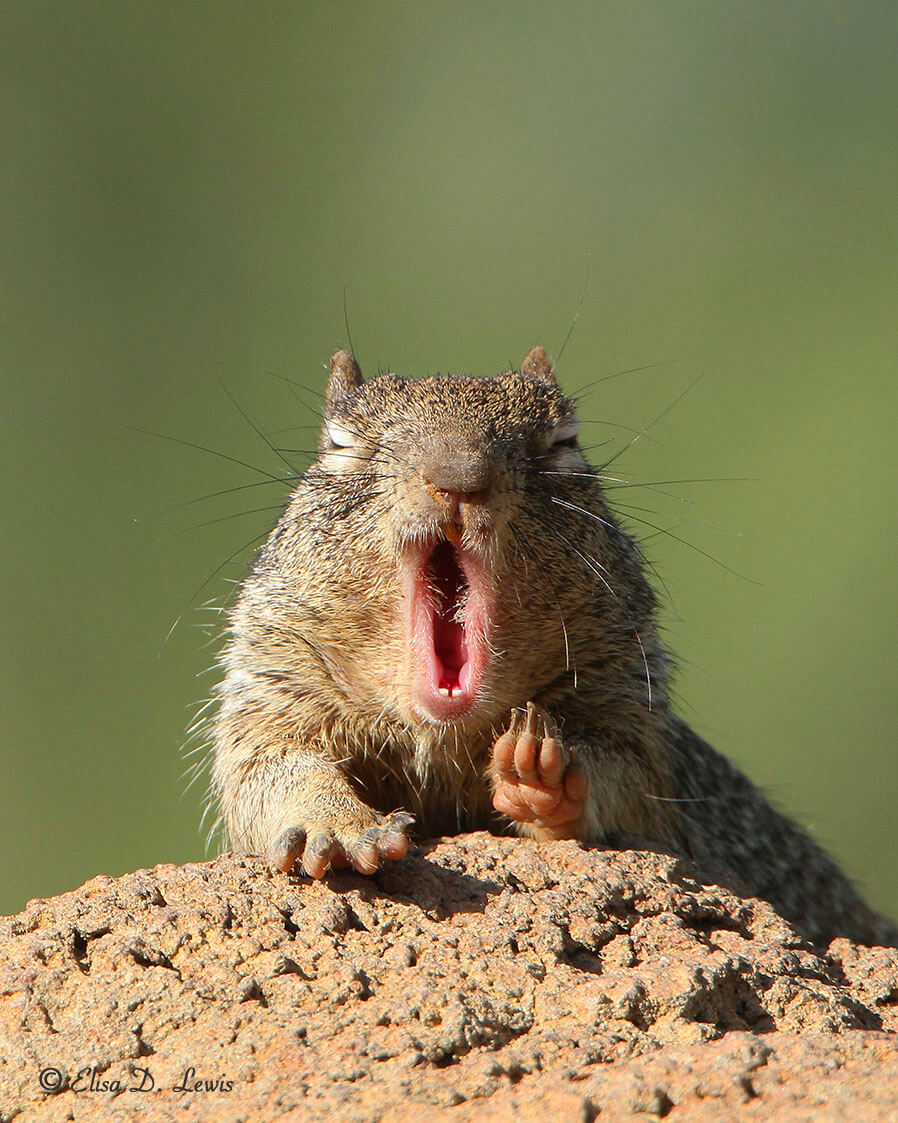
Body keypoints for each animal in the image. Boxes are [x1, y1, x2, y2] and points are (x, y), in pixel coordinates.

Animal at [211, 345, 889, 943]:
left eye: (564, 443)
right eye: (341, 444)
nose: (459, 478)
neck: (443, 737)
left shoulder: (626, 697)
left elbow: (630, 785)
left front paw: (544, 775)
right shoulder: (274, 681)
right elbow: (266, 771)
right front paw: (336, 826)